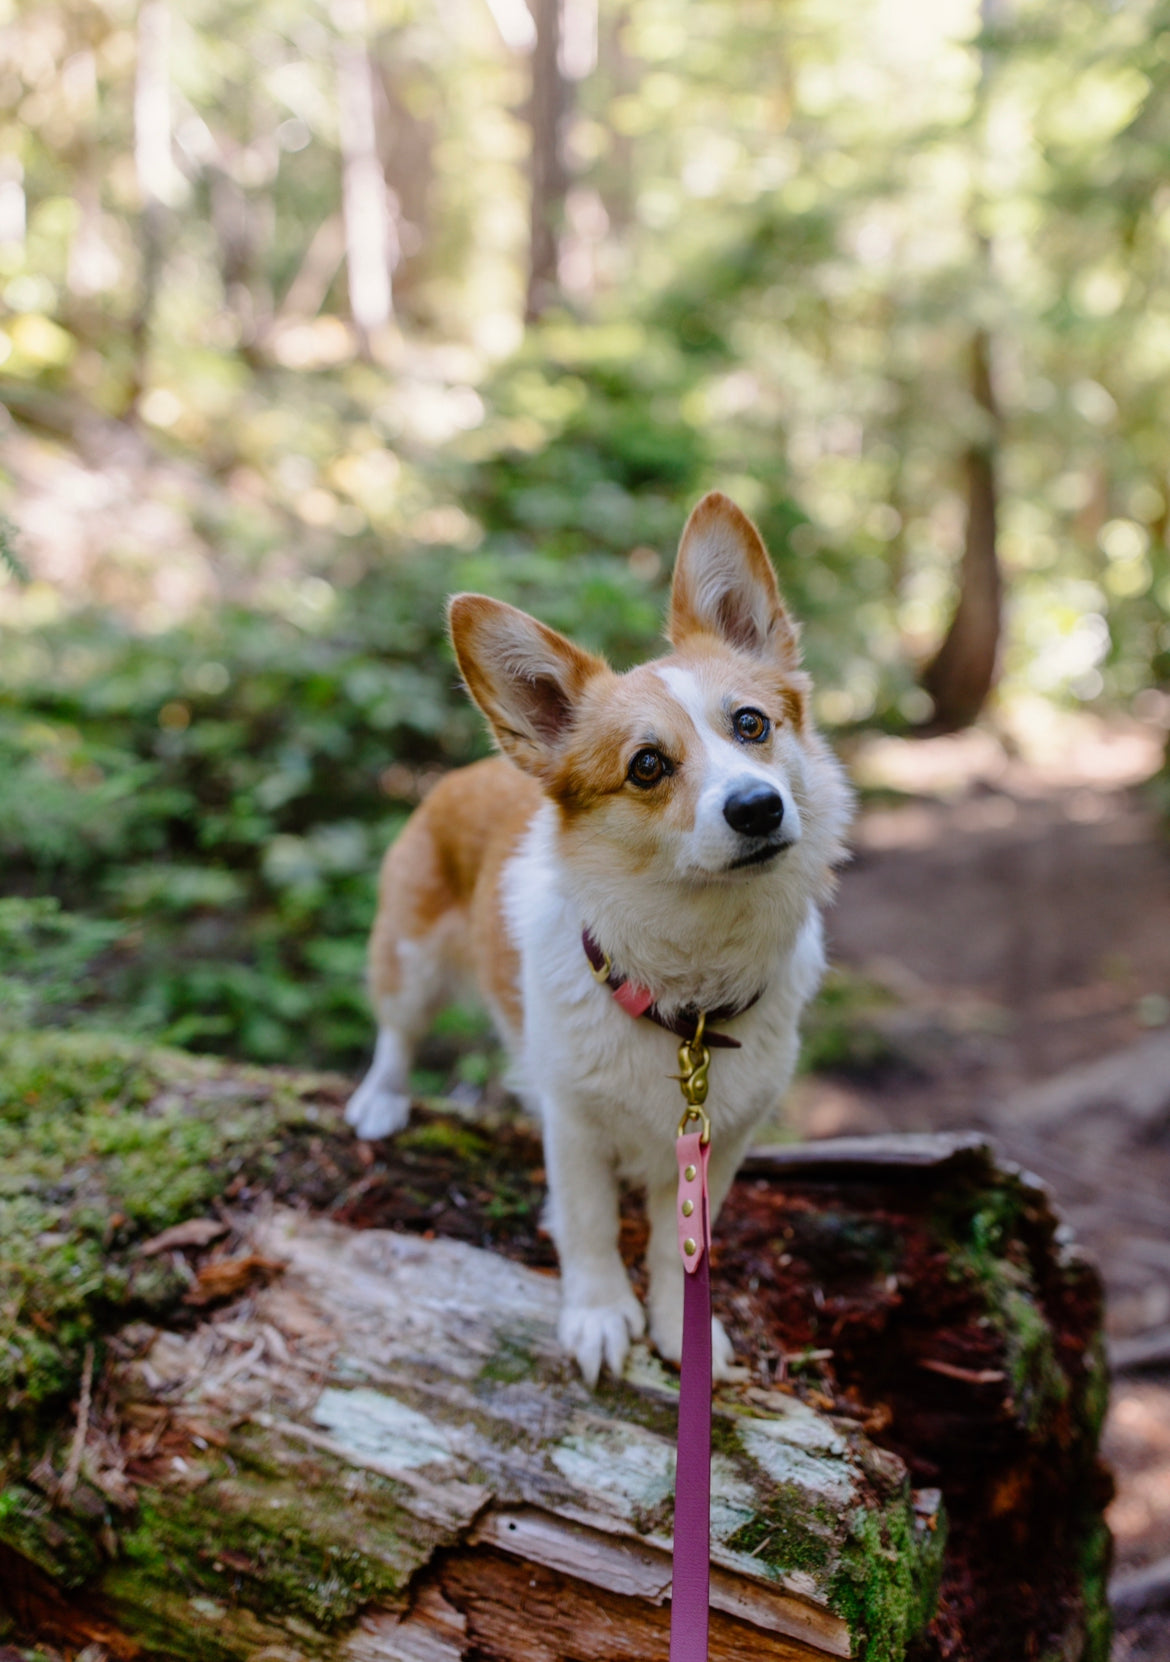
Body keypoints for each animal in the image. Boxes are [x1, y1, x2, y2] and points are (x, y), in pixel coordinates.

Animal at [345, 491, 850, 1389]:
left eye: (751, 724)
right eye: (647, 765)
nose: (757, 808)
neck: (688, 989)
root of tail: (471, 769)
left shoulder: (722, 1141)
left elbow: (685, 1245)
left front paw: (681, 1324)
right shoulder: (571, 1120)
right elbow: (587, 1222)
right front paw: (600, 1314)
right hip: (410, 962)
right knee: (398, 1033)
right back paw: (381, 1098)